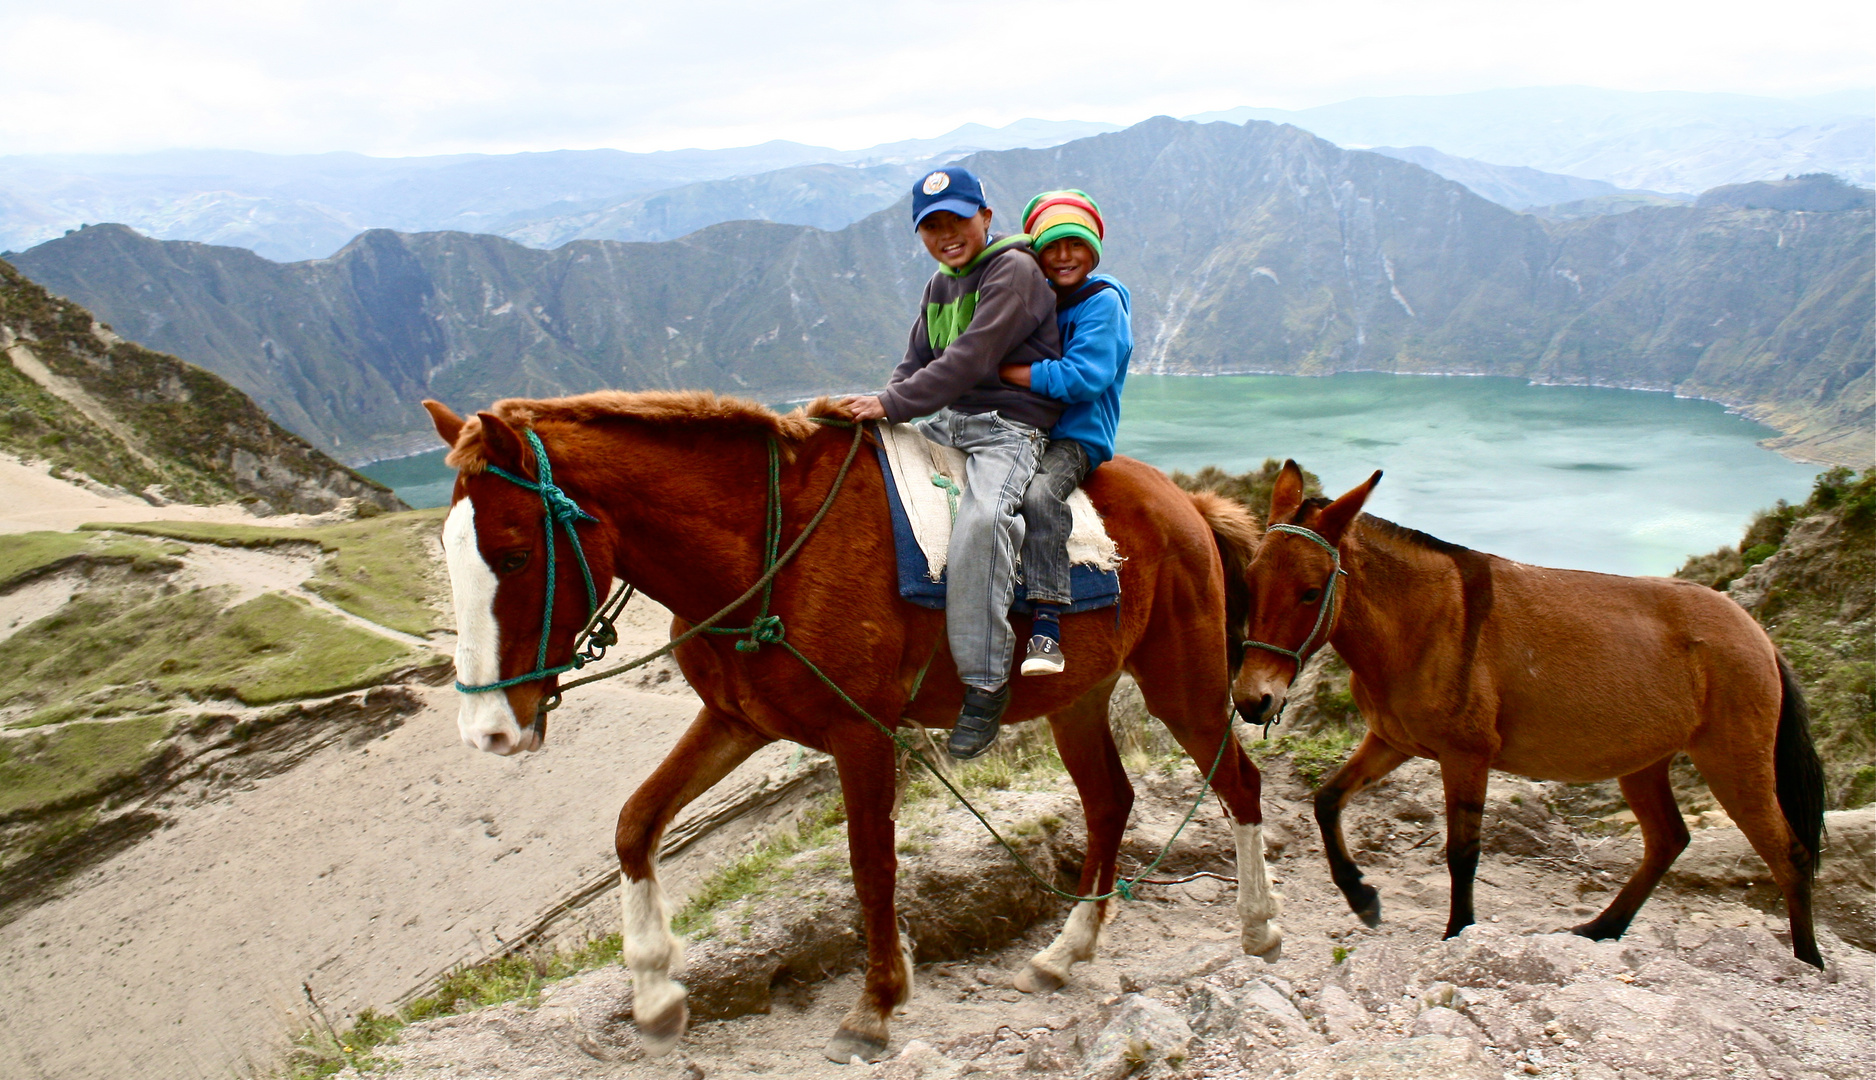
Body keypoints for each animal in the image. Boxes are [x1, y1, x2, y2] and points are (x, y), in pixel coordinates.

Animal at [420, 390, 1283, 1065]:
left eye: (515, 554)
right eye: (450, 552)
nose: (488, 730)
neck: (767, 546)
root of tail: (1187, 505)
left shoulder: (861, 734)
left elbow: (871, 866)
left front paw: (874, 1008)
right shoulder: (734, 721)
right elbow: (636, 823)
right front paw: (658, 992)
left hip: (1183, 686)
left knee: (1240, 781)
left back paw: (1258, 926)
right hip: (1077, 699)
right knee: (1109, 802)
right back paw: (1064, 954)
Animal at [1238, 459, 1823, 967]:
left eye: (1311, 592)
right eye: (1250, 578)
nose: (1251, 700)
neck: (1423, 621)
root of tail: (1758, 636)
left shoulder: (1466, 755)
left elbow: (1463, 850)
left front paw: (1458, 932)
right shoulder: (1391, 741)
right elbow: (1327, 799)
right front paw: (1361, 896)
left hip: (1733, 761)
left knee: (1788, 853)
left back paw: (1808, 962)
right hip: (1644, 763)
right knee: (1668, 840)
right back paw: (1602, 928)